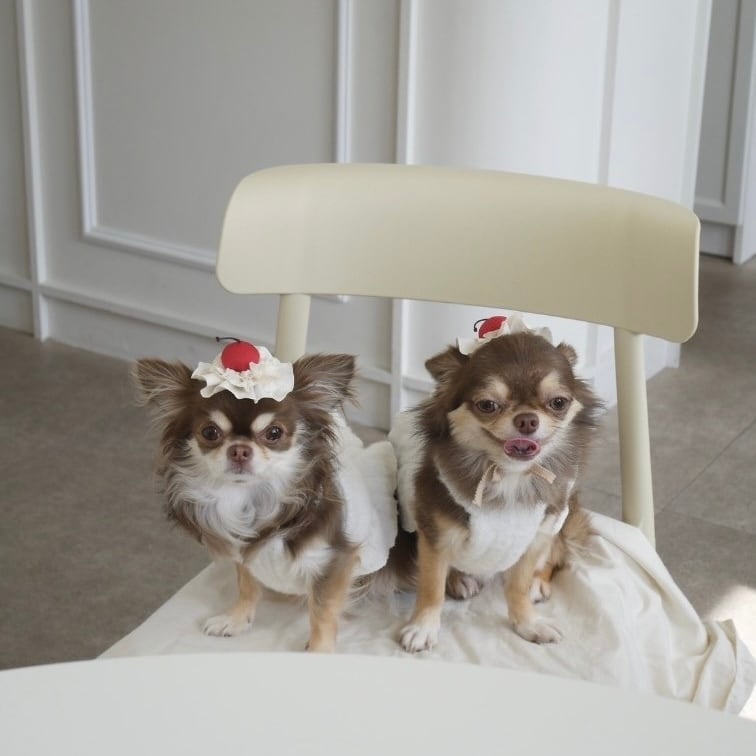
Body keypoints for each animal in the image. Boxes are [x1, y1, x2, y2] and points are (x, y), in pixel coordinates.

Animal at [133, 342, 397, 653]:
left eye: (274, 433)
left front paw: (318, 651)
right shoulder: (245, 550)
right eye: (209, 432)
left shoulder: (335, 561)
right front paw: (236, 619)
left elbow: (322, 612)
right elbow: (246, 584)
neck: (251, 500)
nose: (239, 449)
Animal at [389, 316, 601, 652]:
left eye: (558, 402)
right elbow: (431, 587)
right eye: (487, 405)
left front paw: (527, 623)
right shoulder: (434, 535)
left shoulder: (534, 536)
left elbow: (518, 586)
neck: (508, 475)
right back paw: (459, 579)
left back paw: (538, 583)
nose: (527, 419)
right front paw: (423, 627)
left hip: (559, 526)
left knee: (555, 556)